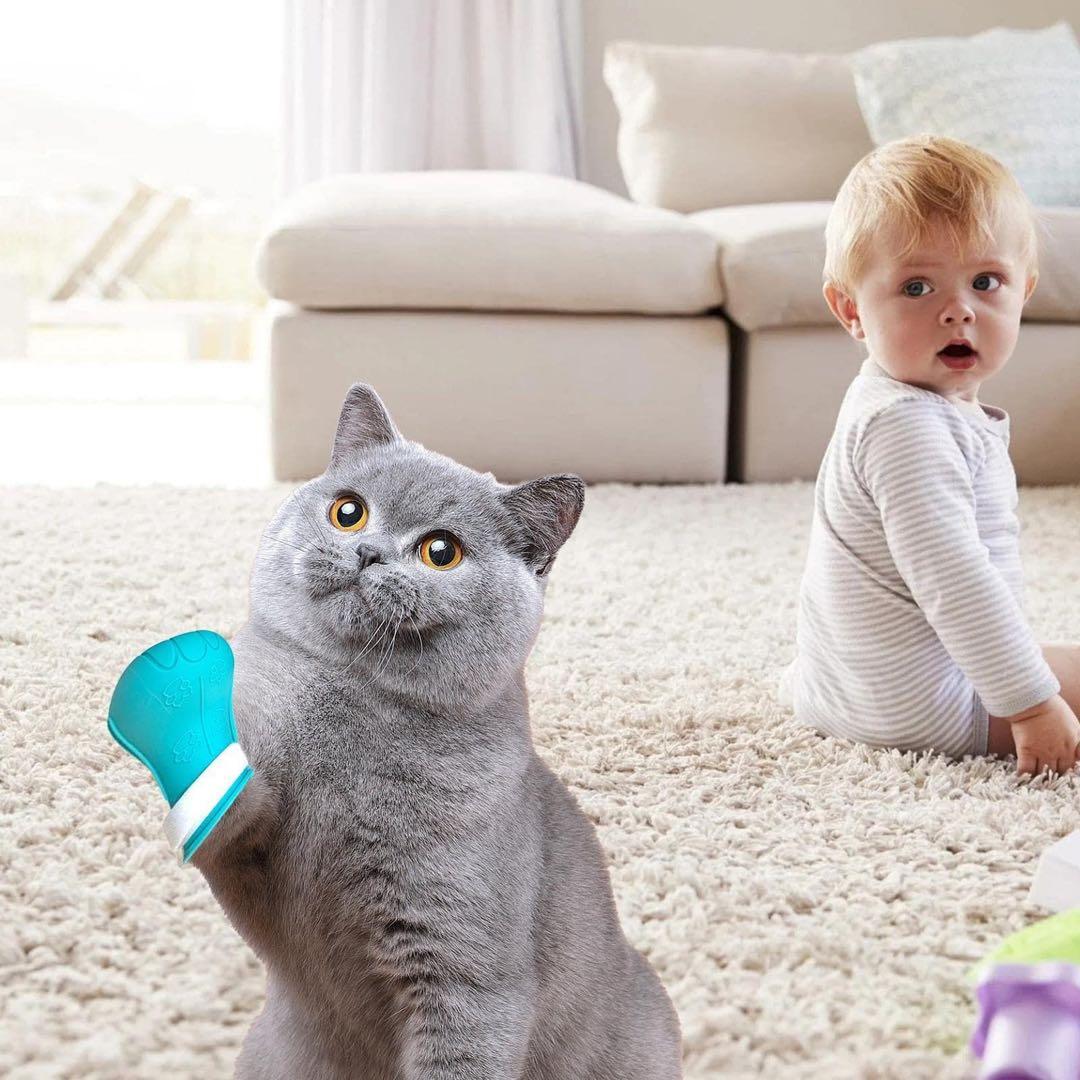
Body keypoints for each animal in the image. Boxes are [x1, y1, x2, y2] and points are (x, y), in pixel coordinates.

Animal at [192, 383, 682, 1079]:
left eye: (440, 551)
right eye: (348, 512)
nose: (367, 551)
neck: (350, 705)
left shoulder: (468, 986)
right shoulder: (248, 865)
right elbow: (227, 813)